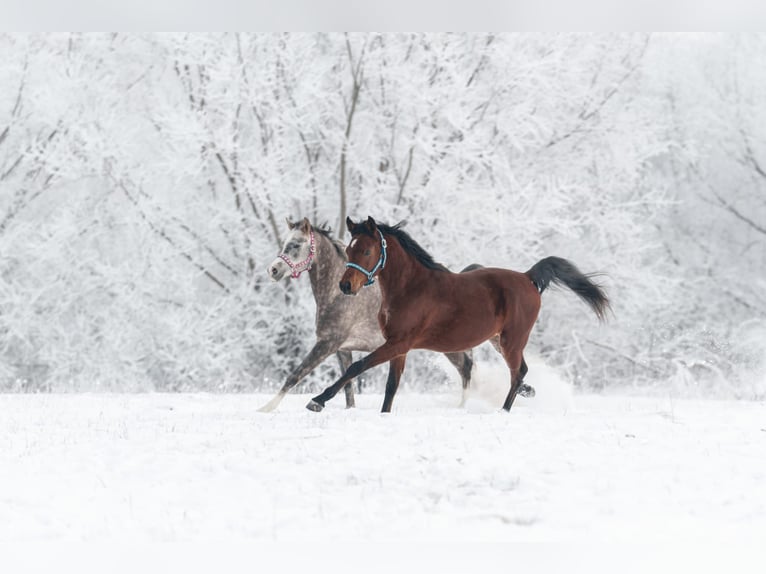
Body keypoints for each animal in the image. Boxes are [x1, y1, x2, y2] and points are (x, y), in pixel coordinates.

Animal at [260, 217, 529, 412]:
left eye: (295, 245)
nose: (273, 270)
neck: (337, 297)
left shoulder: (328, 343)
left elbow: (295, 375)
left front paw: (267, 408)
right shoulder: (342, 349)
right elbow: (348, 386)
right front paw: (344, 408)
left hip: (489, 342)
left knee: (475, 369)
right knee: (469, 369)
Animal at [306, 216, 610, 414]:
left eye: (367, 250)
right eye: (349, 249)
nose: (346, 286)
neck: (411, 287)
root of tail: (527, 277)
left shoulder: (398, 343)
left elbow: (357, 367)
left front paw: (318, 400)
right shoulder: (398, 347)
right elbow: (391, 387)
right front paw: (384, 413)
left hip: (512, 340)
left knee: (517, 373)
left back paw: (504, 411)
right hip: (499, 340)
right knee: (517, 373)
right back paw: (526, 393)